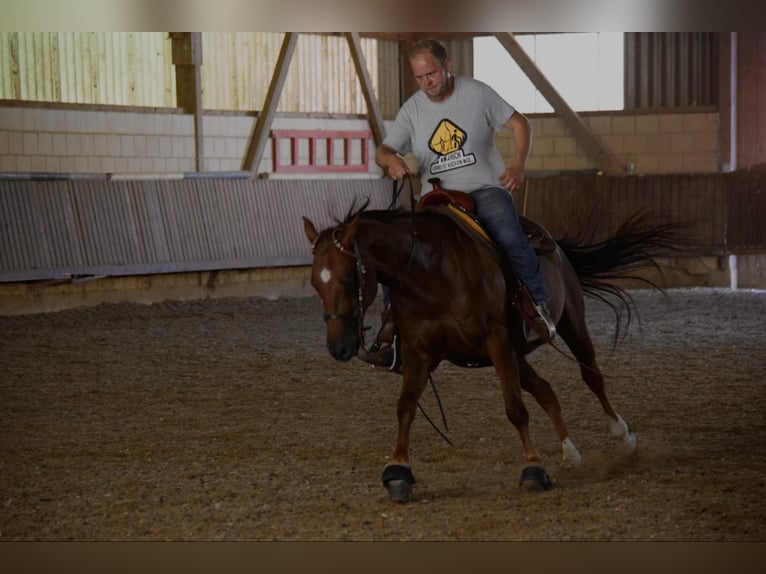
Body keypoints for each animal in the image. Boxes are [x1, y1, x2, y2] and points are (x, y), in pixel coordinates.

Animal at [302, 196, 679, 502]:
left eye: (349, 278)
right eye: (314, 283)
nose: (338, 347)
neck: (430, 272)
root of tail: (554, 244)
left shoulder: (496, 343)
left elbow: (515, 409)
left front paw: (533, 469)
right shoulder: (419, 353)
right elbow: (406, 407)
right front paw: (398, 473)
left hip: (570, 324)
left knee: (592, 376)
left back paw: (623, 435)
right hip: (517, 355)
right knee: (546, 390)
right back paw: (570, 452)